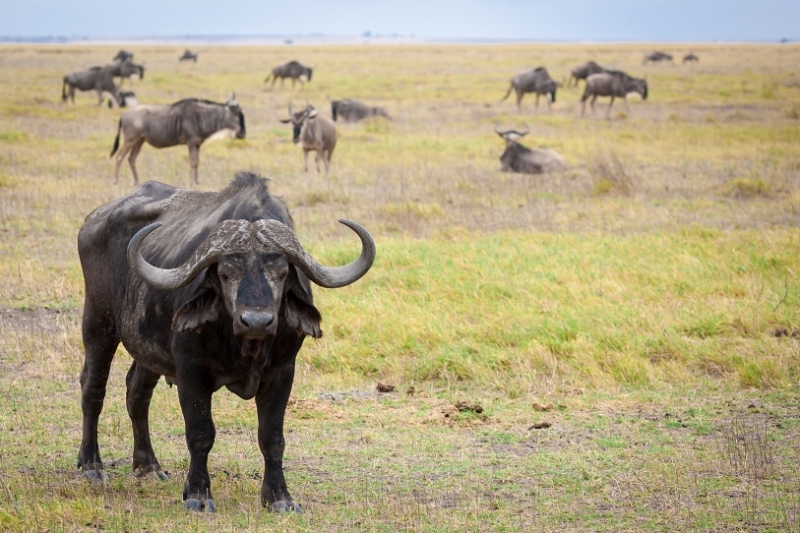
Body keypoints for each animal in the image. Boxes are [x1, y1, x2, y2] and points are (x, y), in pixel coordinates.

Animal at [75, 170, 376, 512]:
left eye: (282, 272)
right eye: (225, 272)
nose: (256, 321)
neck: (245, 347)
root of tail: (94, 220)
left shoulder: (282, 372)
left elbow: (272, 437)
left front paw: (279, 498)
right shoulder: (191, 372)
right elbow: (200, 433)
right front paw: (197, 494)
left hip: (146, 349)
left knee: (137, 393)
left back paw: (148, 466)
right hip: (98, 323)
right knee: (93, 387)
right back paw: (91, 465)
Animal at [110, 94, 244, 186]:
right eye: (237, 115)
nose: (242, 134)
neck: (202, 115)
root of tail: (123, 114)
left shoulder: (197, 143)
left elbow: (197, 162)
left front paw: (196, 181)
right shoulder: (191, 141)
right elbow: (193, 162)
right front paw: (192, 182)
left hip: (139, 141)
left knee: (131, 158)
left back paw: (137, 181)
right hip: (130, 140)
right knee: (119, 157)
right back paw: (116, 181)